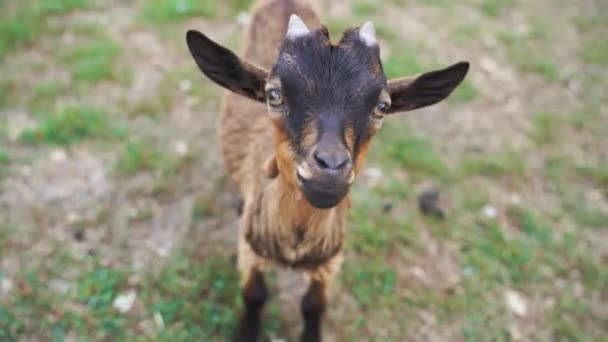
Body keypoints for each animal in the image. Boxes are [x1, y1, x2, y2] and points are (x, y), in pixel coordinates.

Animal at [185, 0, 470, 340]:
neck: (296, 243)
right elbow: (254, 295)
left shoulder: (330, 261)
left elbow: (313, 305)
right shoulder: (250, 251)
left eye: (383, 106)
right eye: (273, 94)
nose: (330, 168)